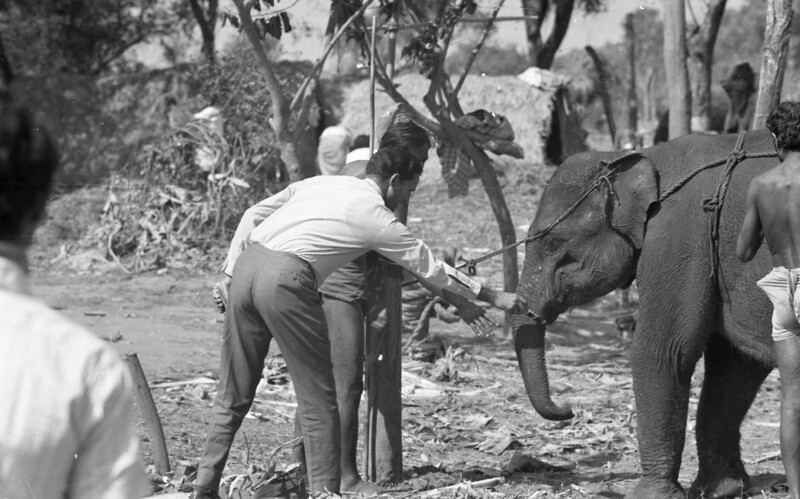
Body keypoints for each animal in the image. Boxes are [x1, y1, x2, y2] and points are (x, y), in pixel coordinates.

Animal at [512, 128, 779, 498]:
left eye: (551, 243)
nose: (568, 409)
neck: (644, 156)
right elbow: (735, 364)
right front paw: (720, 490)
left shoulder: (678, 237)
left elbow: (662, 351)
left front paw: (651, 494)